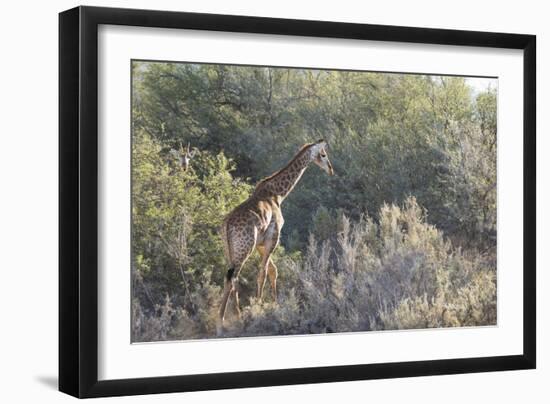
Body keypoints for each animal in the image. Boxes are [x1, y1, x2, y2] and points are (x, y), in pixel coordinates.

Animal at [218, 139, 334, 334]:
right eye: (323, 154)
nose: (331, 170)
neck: (278, 194)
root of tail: (226, 225)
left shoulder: (261, 243)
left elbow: (273, 270)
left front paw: (275, 304)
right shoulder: (274, 236)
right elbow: (263, 272)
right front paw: (259, 307)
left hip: (230, 250)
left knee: (232, 278)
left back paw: (236, 316)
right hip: (244, 248)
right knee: (231, 277)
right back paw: (222, 321)